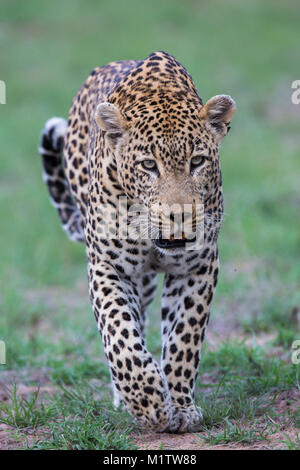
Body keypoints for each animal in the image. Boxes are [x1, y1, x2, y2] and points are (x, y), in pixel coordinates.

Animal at [39, 51, 234, 434]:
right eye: (148, 165)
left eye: (197, 161)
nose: (180, 216)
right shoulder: (108, 267)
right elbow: (119, 334)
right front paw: (150, 403)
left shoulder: (198, 267)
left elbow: (183, 338)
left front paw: (180, 406)